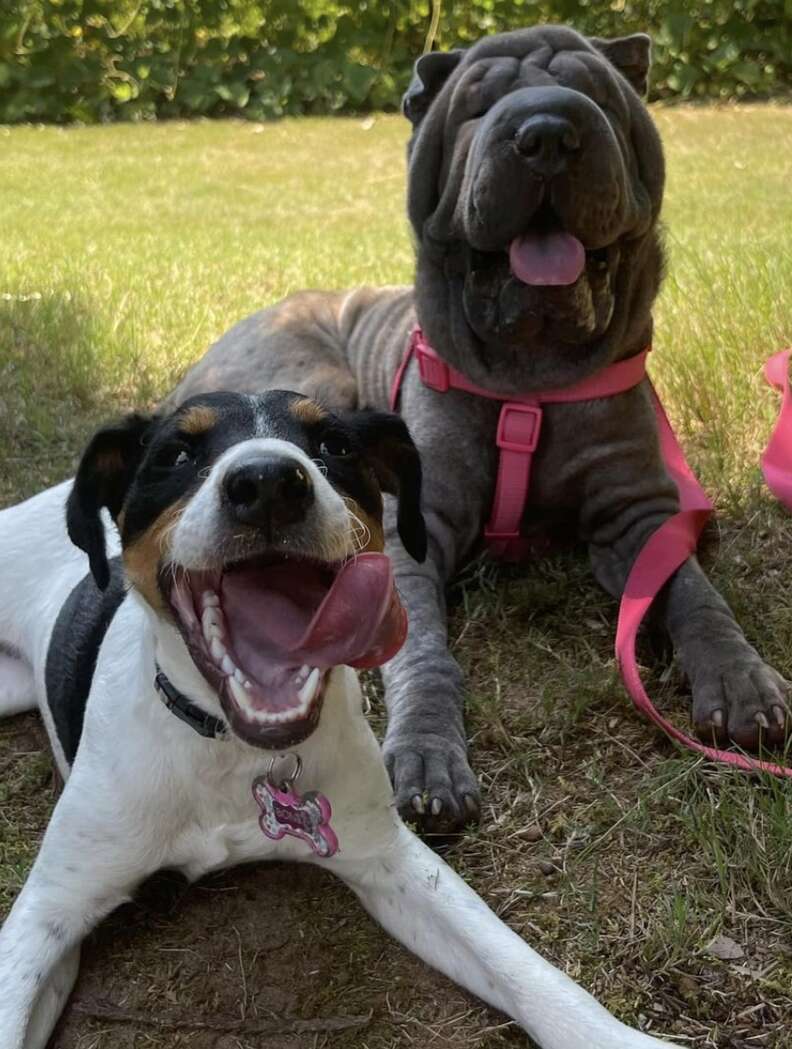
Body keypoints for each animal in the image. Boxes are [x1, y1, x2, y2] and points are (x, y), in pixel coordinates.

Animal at [0, 394, 675, 1049]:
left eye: (334, 444)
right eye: (176, 454)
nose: (268, 482)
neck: (233, 751)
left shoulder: (392, 860)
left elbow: (520, 966)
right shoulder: (45, 914)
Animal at [169, 26, 788, 826]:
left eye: (594, 93)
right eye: (477, 104)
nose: (548, 132)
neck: (532, 383)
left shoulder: (639, 512)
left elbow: (693, 593)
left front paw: (742, 681)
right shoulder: (413, 529)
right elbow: (424, 652)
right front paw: (428, 757)